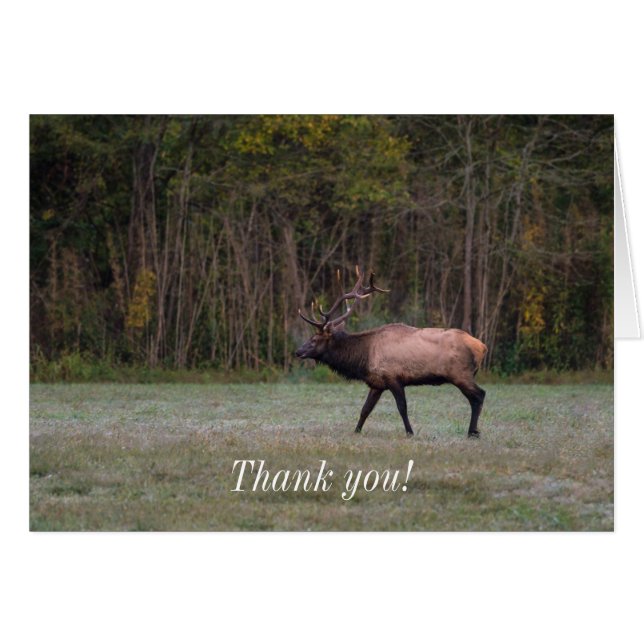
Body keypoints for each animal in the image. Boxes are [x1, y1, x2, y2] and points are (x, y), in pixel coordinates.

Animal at [295, 267, 487, 438]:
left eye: (314, 339)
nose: (298, 352)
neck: (364, 358)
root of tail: (482, 347)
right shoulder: (377, 383)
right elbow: (365, 409)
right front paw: (356, 431)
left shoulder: (393, 378)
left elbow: (402, 407)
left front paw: (410, 432)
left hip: (460, 373)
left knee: (479, 395)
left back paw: (472, 432)